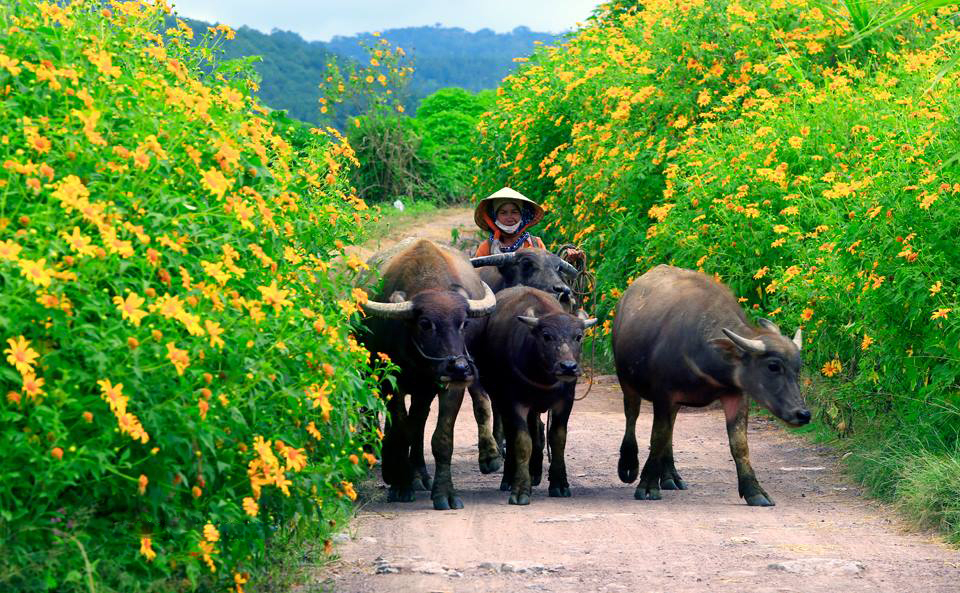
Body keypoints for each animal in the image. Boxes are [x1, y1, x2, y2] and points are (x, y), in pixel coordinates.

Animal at [358, 237, 496, 508]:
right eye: (425, 323)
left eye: (464, 323)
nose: (460, 368)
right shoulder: (391, 384)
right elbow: (400, 430)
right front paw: (400, 485)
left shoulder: (451, 388)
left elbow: (441, 439)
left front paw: (444, 493)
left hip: (425, 390)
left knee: (419, 422)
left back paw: (418, 473)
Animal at [472, 286, 592, 504]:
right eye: (546, 336)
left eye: (578, 336)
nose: (568, 367)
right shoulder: (514, 402)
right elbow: (522, 441)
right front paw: (520, 488)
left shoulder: (565, 402)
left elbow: (557, 438)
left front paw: (559, 483)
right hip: (500, 398)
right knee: (512, 435)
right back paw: (509, 477)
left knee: (537, 429)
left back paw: (535, 471)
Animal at [612, 264, 808, 504]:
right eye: (773, 366)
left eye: (798, 368)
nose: (803, 414)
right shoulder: (663, 395)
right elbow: (657, 437)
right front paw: (647, 486)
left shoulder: (736, 394)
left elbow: (739, 445)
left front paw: (755, 491)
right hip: (626, 381)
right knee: (632, 415)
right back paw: (629, 465)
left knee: (670, 428)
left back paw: (670, 476)